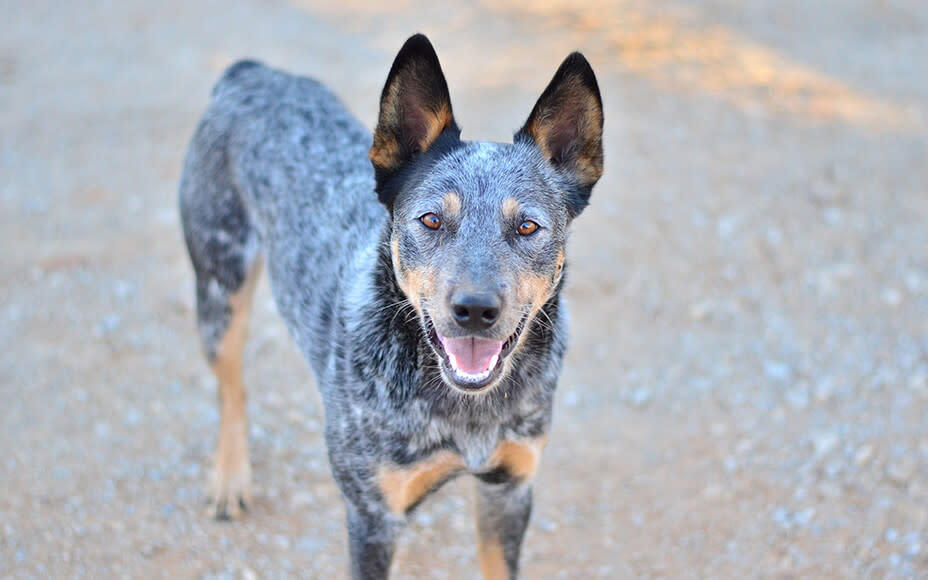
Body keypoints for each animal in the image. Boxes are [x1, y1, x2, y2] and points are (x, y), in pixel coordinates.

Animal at [179, 35, 604, 580]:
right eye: (431, 220)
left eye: (527, 226)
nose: (474, 309)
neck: (465, 412)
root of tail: (251, 73)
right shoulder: (372, 516)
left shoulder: (509, 490)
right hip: (219, 289)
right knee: (232, 386)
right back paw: (230, 479)